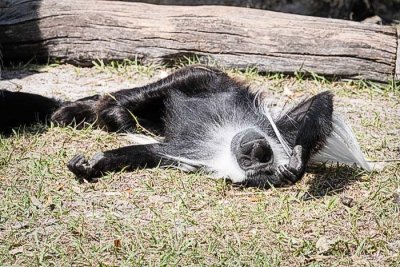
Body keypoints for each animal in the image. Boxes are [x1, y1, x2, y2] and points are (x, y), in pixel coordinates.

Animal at [0, 65, 370, 187]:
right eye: (255, 158)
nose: (256, 151)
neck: (224, 134)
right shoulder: (262, 117)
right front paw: (297, 160)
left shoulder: (178, 151)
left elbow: (148, 153)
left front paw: (93, 163)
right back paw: (89, 111)